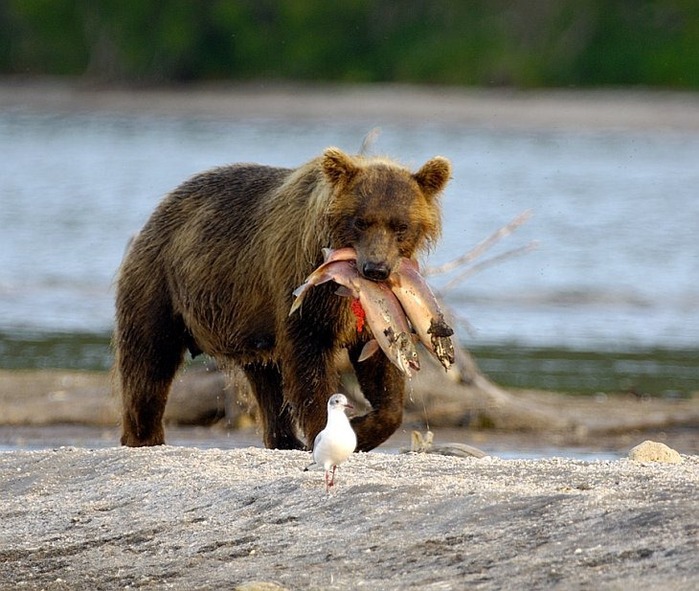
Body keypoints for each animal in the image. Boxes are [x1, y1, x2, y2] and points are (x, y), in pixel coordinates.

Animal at [115, 147, 452, 448]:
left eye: (400, 225)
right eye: (360, 221)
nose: (375, 269)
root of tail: (161, 208)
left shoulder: (374, 314)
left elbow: (382, 375)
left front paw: (364, 426)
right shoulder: (303, 283)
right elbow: (309, 361)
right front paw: (329, 430)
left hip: (250, 324)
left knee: (267, 381)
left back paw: (284, 439)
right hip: (160, 284)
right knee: (149, 362)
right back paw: (144, 436)